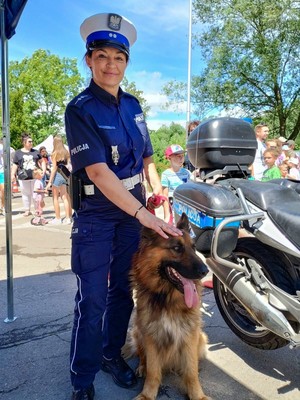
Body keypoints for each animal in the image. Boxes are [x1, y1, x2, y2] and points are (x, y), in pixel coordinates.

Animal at [125, 212, 210, 400]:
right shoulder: (151, 335)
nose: (205, 271)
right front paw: (147, 394)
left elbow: (191, 372)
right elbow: (153, 371)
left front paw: (197, 395)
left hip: (201, 338)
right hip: (138, 331)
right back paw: (142, 367)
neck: (168, 299)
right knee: (142, 357)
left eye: (194, 248)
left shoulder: (189, 335)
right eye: (177, 248)